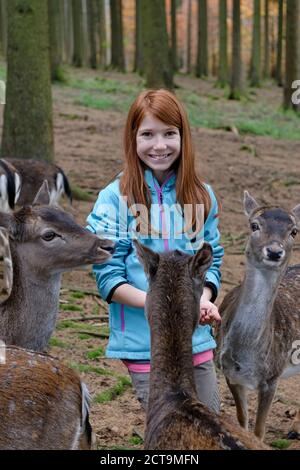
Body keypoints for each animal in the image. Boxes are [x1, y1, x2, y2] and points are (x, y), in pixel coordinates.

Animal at [218, 191, 300, 440]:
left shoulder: (272, 377)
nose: (274, 251)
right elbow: (242, 419)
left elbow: (259, 430)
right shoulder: (229, 373)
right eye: (254, 225)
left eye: (294, 231)